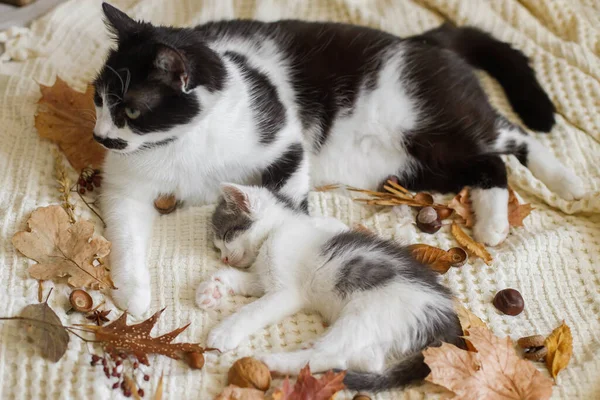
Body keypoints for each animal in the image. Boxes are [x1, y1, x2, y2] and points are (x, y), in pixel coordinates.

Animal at [95, 3, 584, 316]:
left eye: (131, 111)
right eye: (98, 99)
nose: (101, 137)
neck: (181, 143)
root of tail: (423, 40)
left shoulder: (283, 142)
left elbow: (287, 199)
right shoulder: (126, 183)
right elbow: (124, 227)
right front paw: (133, 293)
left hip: (442, 120)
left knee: (511, 137)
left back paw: (566, 182)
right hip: (419, 165)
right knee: (488, 165)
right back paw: (492, 222)